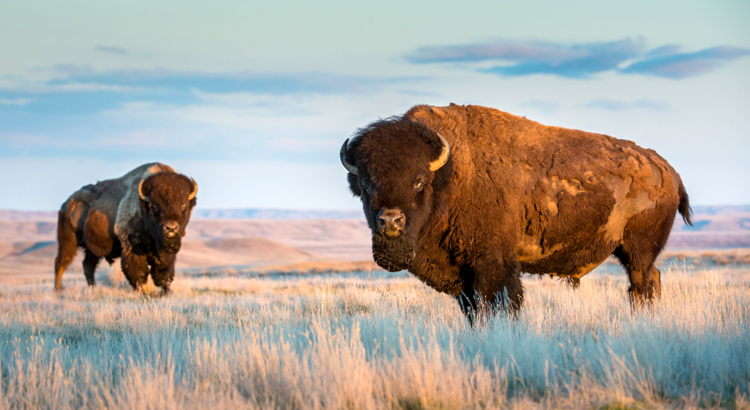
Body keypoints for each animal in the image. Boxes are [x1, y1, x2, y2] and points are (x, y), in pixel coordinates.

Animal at [54, 162, 198, 294]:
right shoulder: (132, 245)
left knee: (88, 265)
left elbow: (165, 273)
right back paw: (58, 290)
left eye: (184, 205)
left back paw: (93, 289)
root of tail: (67, 204)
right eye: (155, 206)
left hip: (91, 248)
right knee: (61, 262)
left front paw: (167, 292)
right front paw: (142, 292)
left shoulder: (167, 255)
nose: (171, 228)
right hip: (68, 241)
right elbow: (138, 272)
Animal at [340, 103, 692, 320]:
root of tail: (668, 170)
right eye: (366, 183)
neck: (449, 175)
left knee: (642, 283)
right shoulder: (464, 278)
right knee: (649, 281)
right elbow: (474, 310)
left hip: (637, 249)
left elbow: (501, 304)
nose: (390, 221)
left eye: (418, 182)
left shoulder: (493, 265)